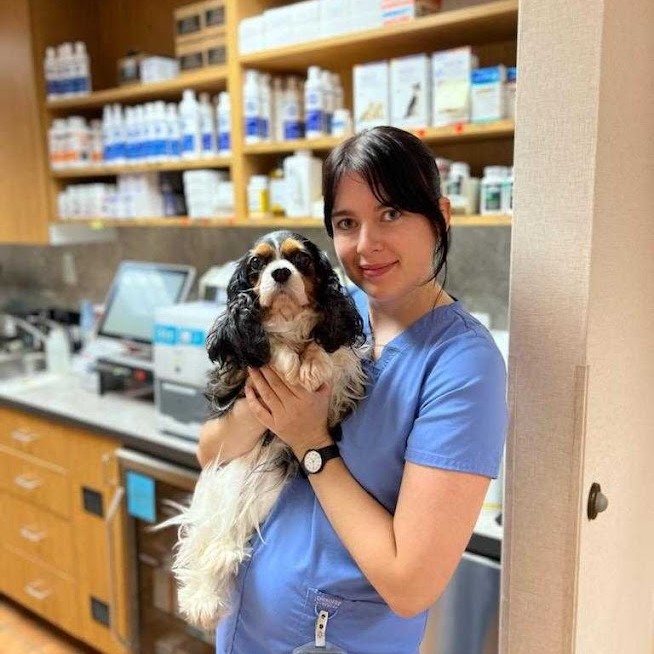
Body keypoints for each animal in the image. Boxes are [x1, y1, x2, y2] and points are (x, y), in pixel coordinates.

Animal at [164, 229, 368, 632]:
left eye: (300, 259)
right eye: (258, 264)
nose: (281, 273)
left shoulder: (342, 370)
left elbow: (324, 347)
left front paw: (312, 363)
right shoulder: (237, 372)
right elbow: (270, 345)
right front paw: (289, 360)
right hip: (231, 476)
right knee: (213, 539)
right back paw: (203, 598)